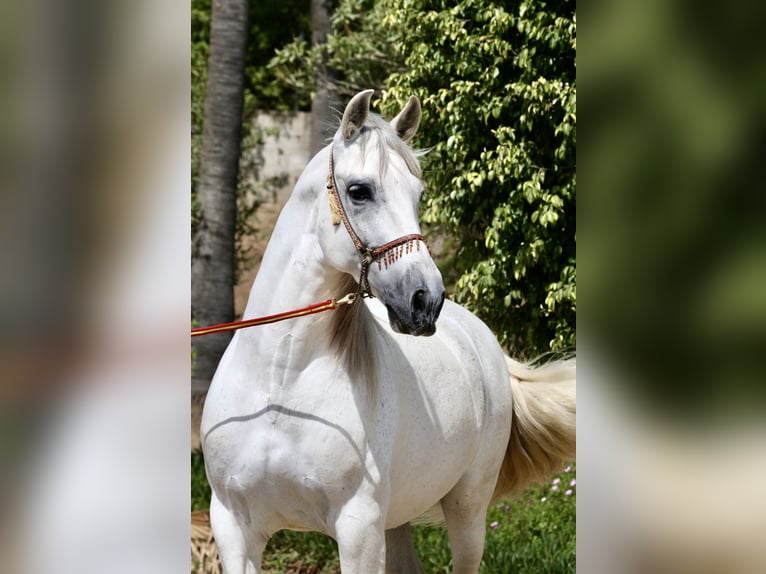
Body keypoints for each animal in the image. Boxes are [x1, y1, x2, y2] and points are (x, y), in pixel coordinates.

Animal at [204, 91, 576, 574]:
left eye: (419, 194)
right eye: (359, 191)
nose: (425, 300)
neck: (279, 383)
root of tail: (483, 340)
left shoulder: (358, 529)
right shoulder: (234, 528)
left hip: (467, 509)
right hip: (396, 519)